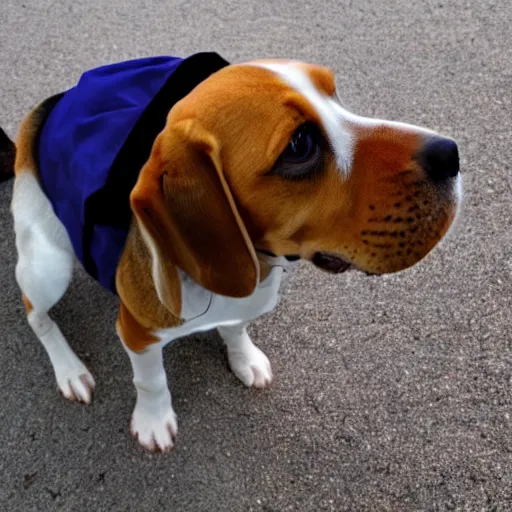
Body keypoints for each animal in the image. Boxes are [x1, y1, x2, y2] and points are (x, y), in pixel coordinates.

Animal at [4, 53, 460, 452]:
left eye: (334, 95)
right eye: (299, 144)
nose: (451, 153)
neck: (255, 262)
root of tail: (52, 104)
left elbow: (237, 328)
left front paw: (244, 358)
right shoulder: (137, 333)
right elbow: (151, 381)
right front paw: (153, 420)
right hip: (49, 266)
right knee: (34, 314)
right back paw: (70, 370)